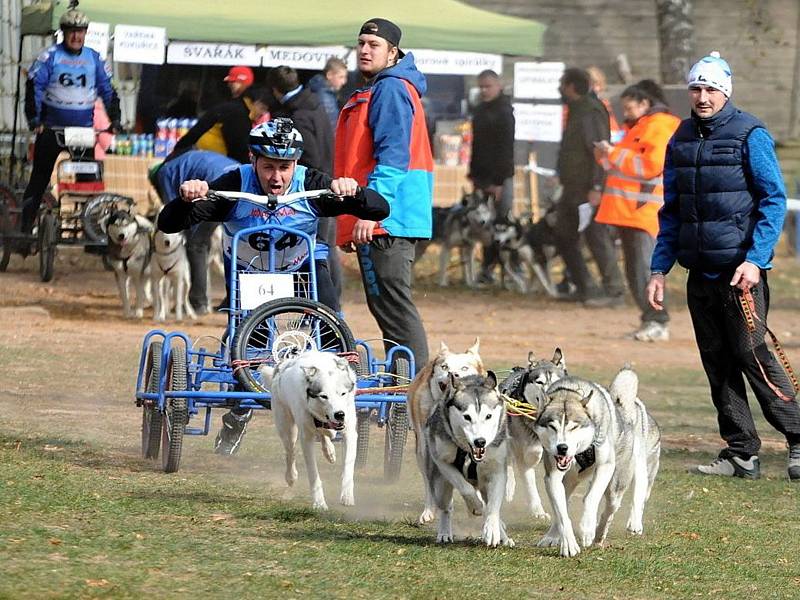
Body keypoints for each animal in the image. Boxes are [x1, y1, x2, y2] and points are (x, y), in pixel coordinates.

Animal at [260, 352, 356, 510]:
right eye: (323, 396)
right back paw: (291, 476)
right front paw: (319, 503)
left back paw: (329, 451)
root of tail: (281, 366)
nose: (340, 414)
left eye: (343, 393)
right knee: (290, 452)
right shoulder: (306, 438)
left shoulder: (350, 432)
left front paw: (347, 496)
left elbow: (348, 467)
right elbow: (313, 474)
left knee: (324, 434)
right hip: (287, 427)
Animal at [406, 342, 482, 524]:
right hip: (422, 452)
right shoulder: (433, 451)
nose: (452, 373)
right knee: (429, 482)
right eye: (444, 366)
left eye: (464, 367)